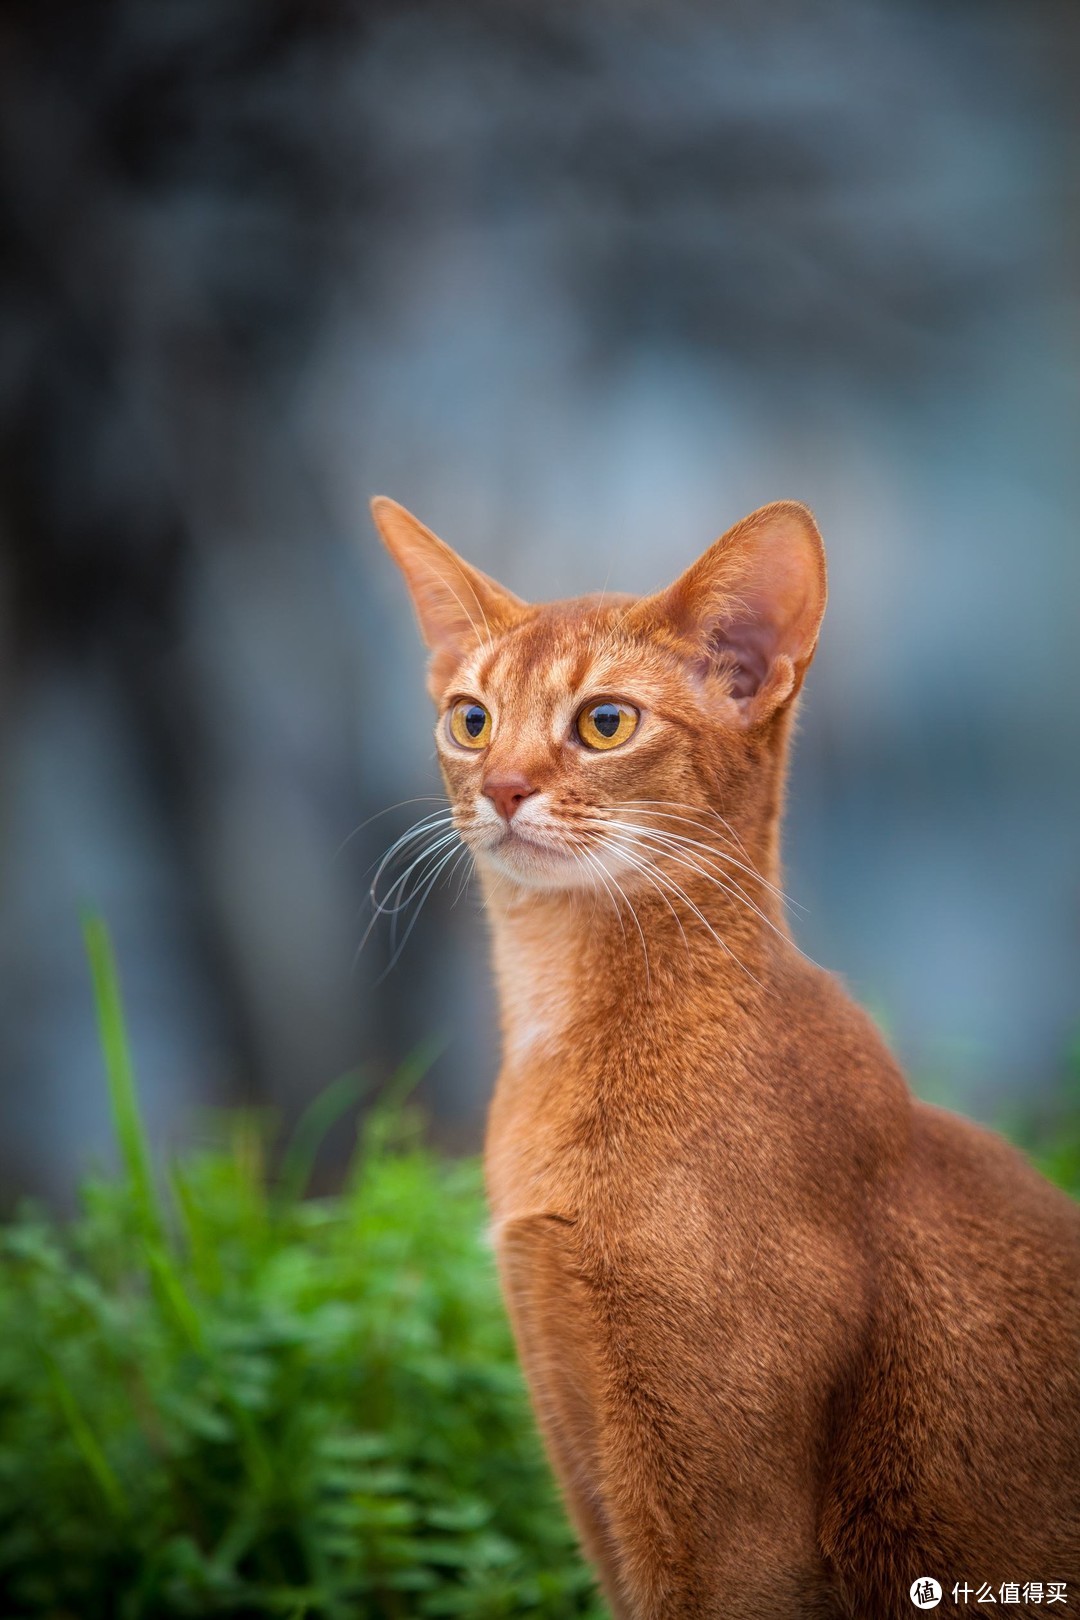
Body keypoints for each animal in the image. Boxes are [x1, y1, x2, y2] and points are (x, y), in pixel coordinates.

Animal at [374, 495, 1080, 1620]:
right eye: (469, 719)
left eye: (605, 722)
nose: (504, 786)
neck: (558, 1039)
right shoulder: (584, 1449)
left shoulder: (731, 1534)